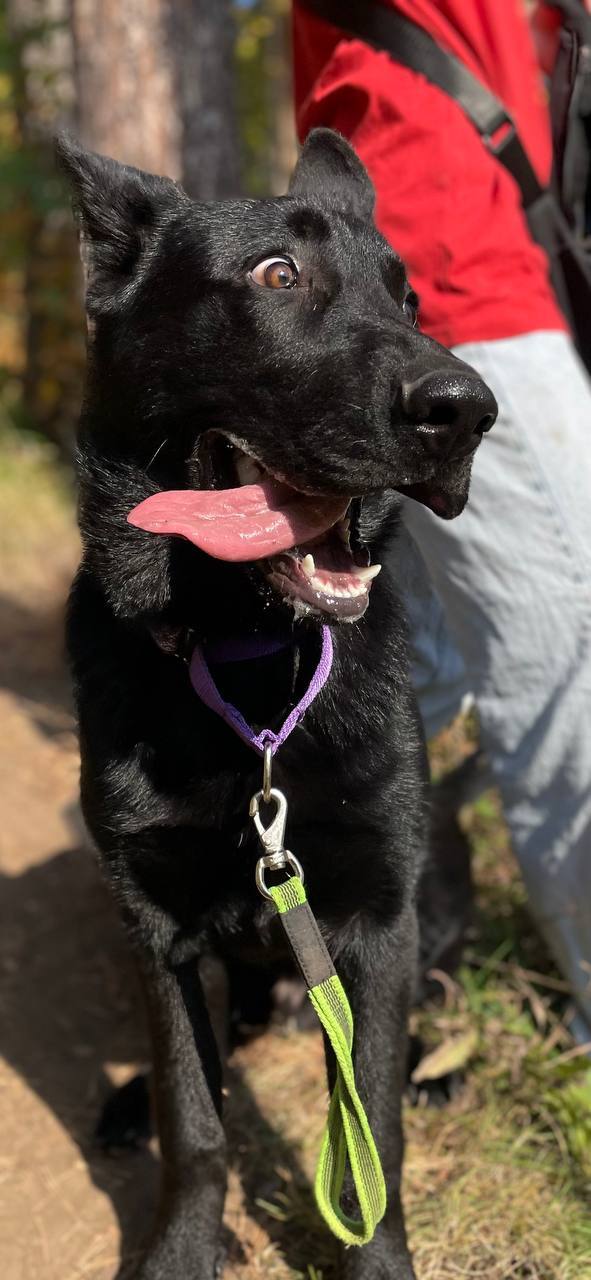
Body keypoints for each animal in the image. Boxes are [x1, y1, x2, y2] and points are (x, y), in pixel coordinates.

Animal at [58, 128, 496, 1280]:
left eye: (408, 297)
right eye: (276, 276)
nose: (468, 411)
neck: (253, 666)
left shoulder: (381, 922)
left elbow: (371, 1126)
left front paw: (377, 1260)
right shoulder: (156, 925)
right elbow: (196, 1115)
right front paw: (178, 1249)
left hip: (436, 900)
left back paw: (441, 1066)